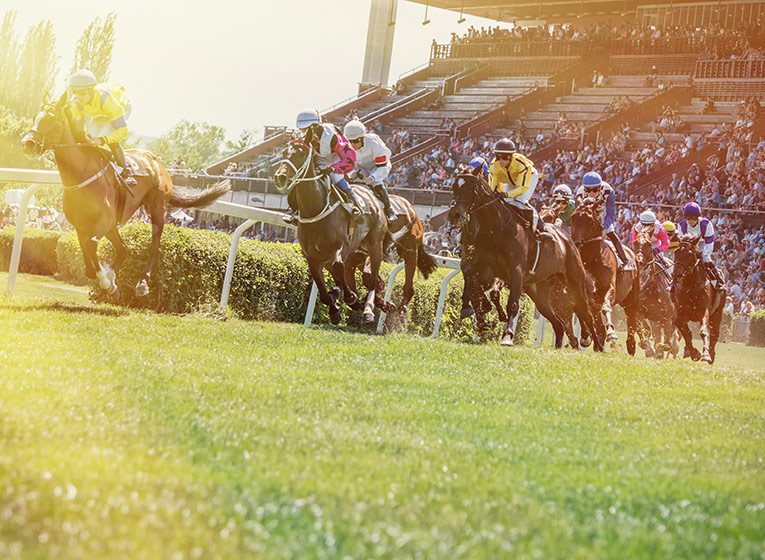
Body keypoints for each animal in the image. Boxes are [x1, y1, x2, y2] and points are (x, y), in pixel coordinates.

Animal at [21, 94, 230, 300]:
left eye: (52, 119)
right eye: (35, 117)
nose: (28, 144)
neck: (82, 173)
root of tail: (158, 163)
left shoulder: (104, 221)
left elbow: (91, 245)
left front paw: (106, 281)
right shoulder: (82, 225)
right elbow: (87, 255)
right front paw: (108, 281)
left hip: (156, 208)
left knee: (154, 246)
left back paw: (142, 283)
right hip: (114, 226)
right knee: (124, 249)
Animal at [274, 137, 430, 326]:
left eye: (301, 154)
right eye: (284, 153)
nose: (280, 177)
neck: (316, 209)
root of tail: (410, 207)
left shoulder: (342, 247)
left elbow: (339, 269)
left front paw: (350, 298)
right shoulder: (312, 256)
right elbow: (325, 285)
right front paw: (335, 309)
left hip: (399, 249)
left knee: (394, 281)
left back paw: (391, 310)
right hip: (362, 254)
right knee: (373, 280)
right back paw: (380, 304)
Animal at [448, 171, 604, 350]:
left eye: (470, 188)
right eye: (454, 187)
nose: (454, 214)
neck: (497, 228)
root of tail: (568, 239)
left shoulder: (515, 272)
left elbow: (512, 304)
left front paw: (507, 336)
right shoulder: (485, 268)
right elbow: (472, 282)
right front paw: (473, 313)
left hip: (575, 283)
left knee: (585, 312)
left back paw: (596, 345)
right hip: (539, 293)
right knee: (558, 323)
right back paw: (559, 346)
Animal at [568, 199, 640, 352]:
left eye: (589, 220)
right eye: (573, 217)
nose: (575, 243)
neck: (592, 259)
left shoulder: (610, 288)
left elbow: (606, 306)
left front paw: (611, 333)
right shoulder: (586, 294)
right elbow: (583, 311)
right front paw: (586, 338)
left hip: (632, 300)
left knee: (631, 321)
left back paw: (630, 346)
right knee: (598, 325)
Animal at [672, 235, 724, 364]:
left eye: (690, 254)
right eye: (676, 251)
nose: (676, 275)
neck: (690, 286)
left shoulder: (703, 310)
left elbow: (704, 331)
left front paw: (705, 355)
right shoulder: (681, 311)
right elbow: (685, 330)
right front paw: (694, 353)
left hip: (718, 312)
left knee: (715, 333)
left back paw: (711, 354)